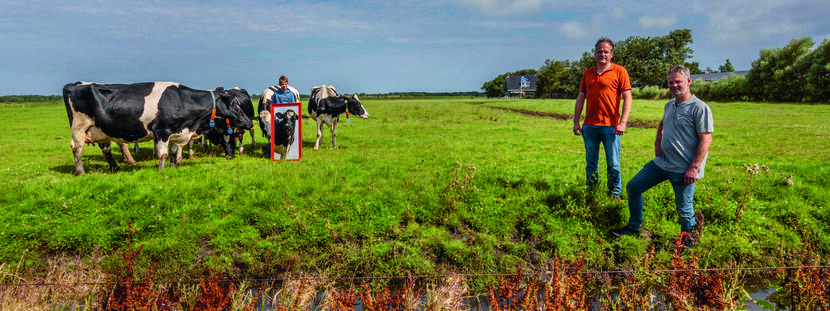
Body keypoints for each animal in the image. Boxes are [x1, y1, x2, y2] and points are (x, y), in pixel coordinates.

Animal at [62, 81, 254, 176]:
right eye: (234, 105)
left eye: (239, 104)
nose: (249, 122)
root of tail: (73, 85)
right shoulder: (162, 131)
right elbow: (162, 154)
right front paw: (161, 171)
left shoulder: (175, 132)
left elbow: (173, 152)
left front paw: (173, 168)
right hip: (79, 127)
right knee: (77, 149)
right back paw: (81, 172)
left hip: (99, 130)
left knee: (105, 149)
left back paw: (115, 168)